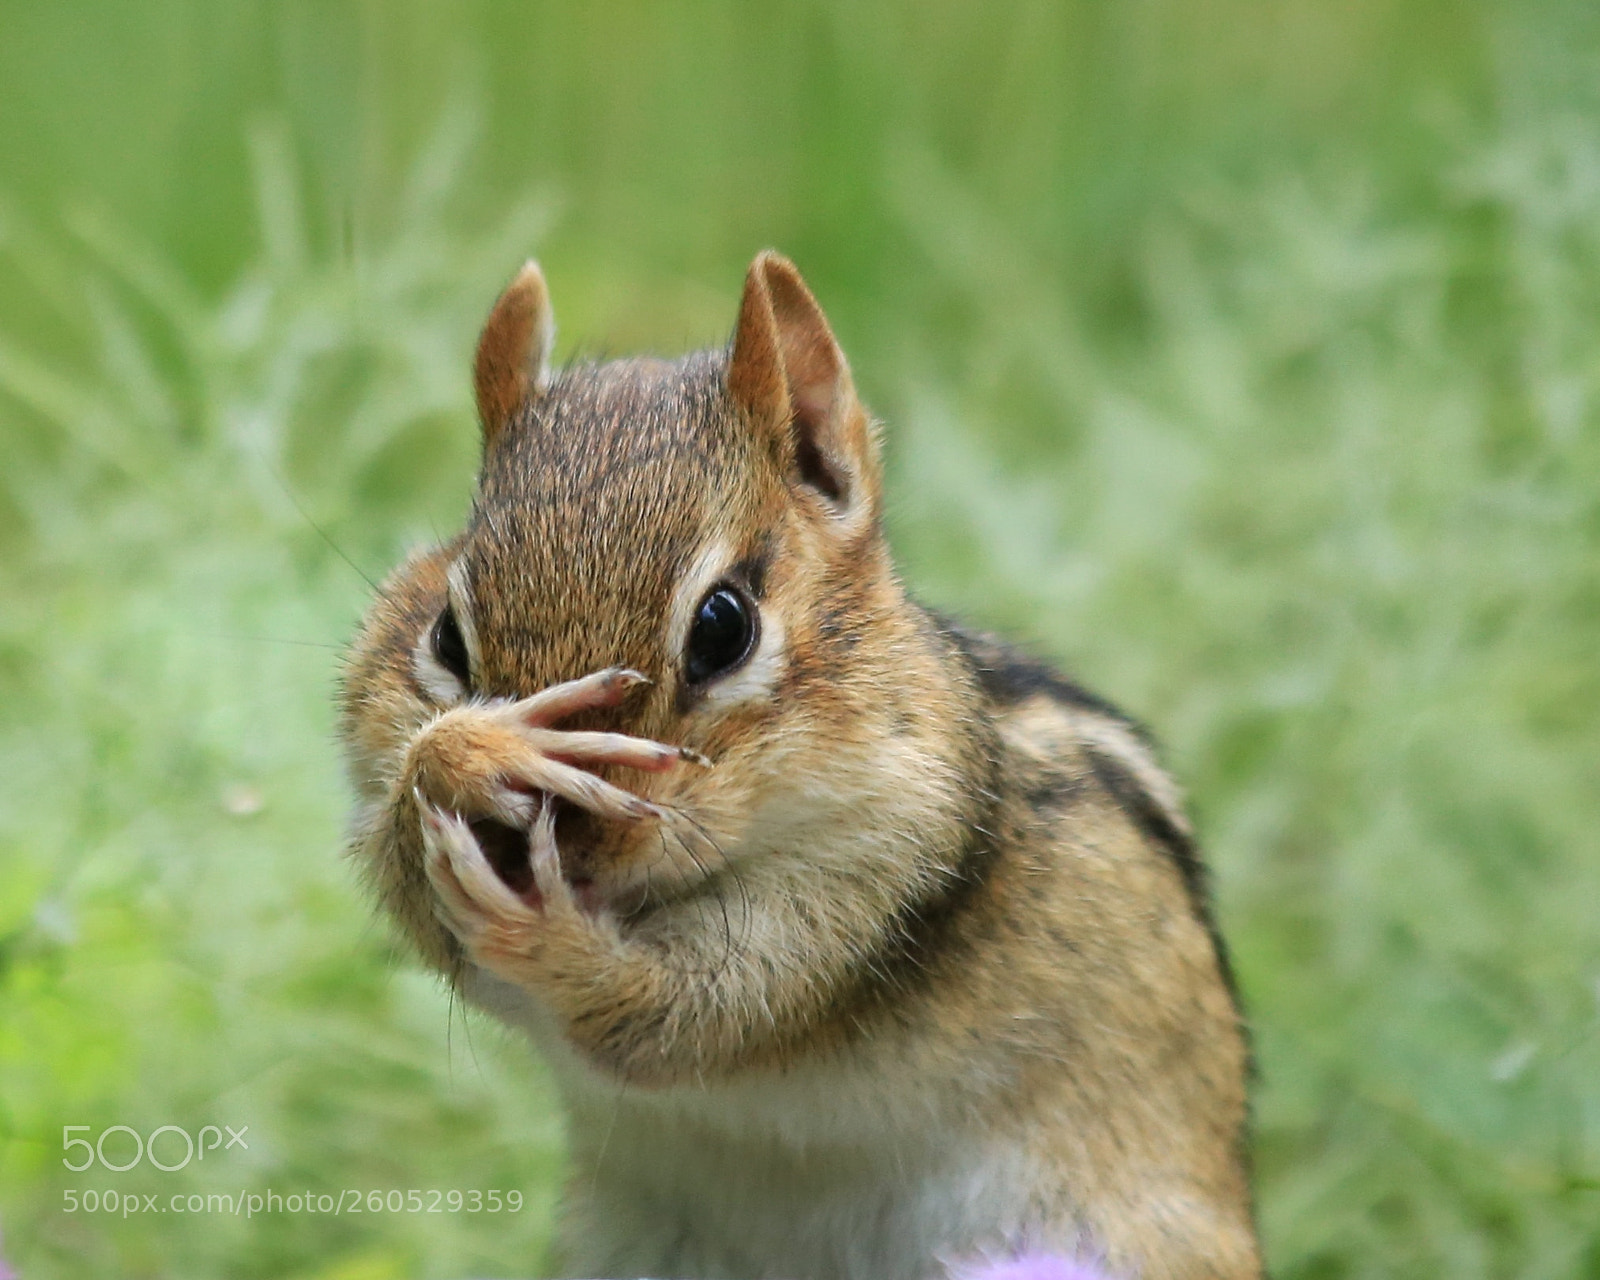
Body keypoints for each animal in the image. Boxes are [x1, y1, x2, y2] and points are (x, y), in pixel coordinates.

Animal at [339, 252, 1260, 1280]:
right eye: (446, 638)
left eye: (723, 626)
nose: (569, 852)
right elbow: (412, 888)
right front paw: (470, 754)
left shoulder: (898, 864)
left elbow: (683, 1015)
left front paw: (550, 938)